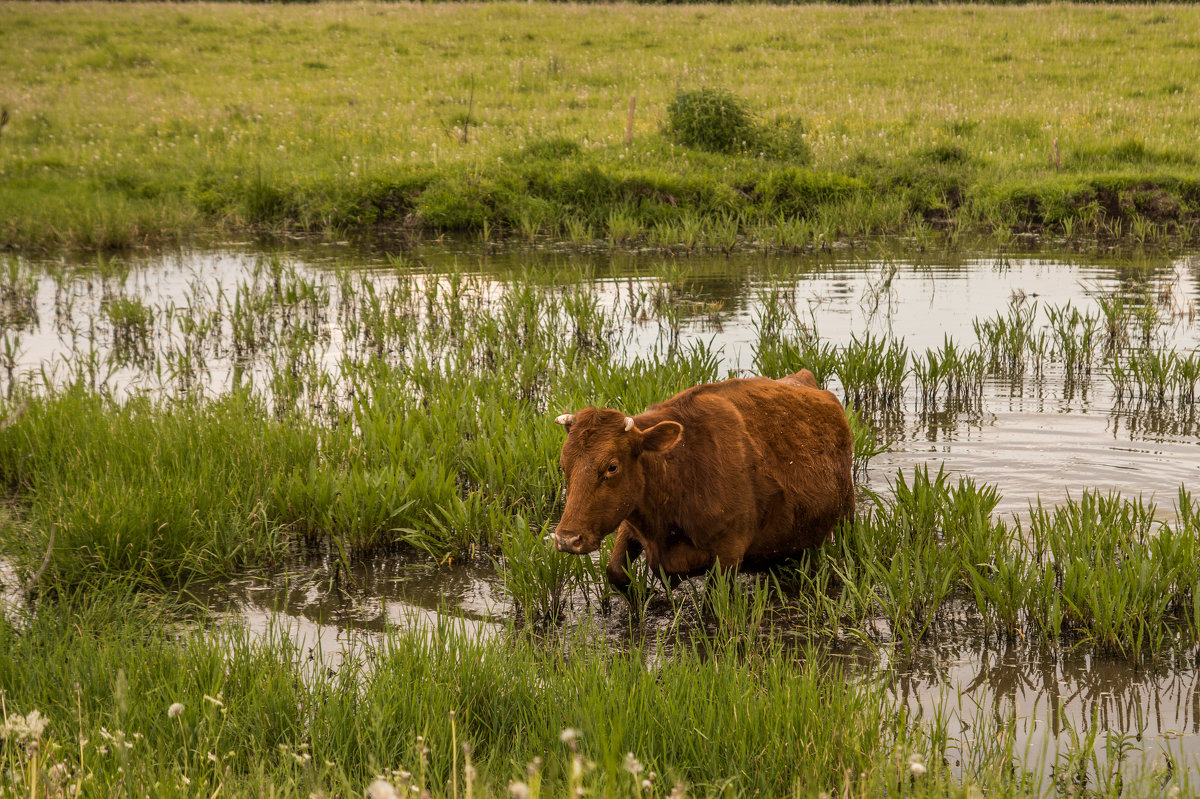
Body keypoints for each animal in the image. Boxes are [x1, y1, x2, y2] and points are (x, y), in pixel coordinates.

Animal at [552, 369, 854, 585]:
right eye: (564, 465)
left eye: (612, 467)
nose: (567, 539)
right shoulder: (630, 519)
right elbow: (615, 573)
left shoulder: (729, 552)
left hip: (845, 513)